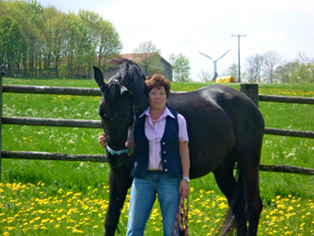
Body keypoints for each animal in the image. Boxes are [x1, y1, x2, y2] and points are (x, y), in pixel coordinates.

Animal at [93, 58, 264, 235]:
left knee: (252, 207)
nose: (115, 158)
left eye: (127, 114)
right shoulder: (118, 175)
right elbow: (111, 220)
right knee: (237, 208)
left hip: (248, 161)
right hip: (223, 168)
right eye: (101, 112)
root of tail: (248, 103)